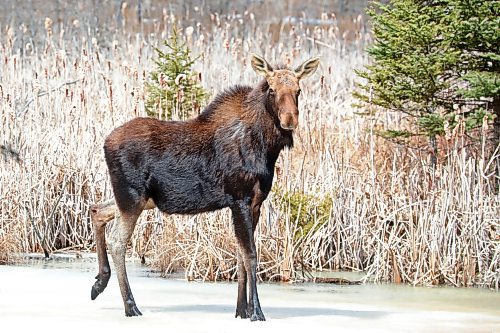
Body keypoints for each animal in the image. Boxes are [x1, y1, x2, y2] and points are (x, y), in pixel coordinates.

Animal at [90, 53, 320, 320]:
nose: (289, 120)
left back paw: (99, 283)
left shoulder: (255, 203)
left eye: (298, 90)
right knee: (117, 241)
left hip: (138, 199)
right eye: (272, 90)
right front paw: (256, 312)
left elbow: (240, 256)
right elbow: (250, 255)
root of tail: (105, 142)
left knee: (97, 210)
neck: (266, 147)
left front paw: (241, 311)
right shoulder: (240, 199)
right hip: (132, 197)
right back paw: (130, 306)